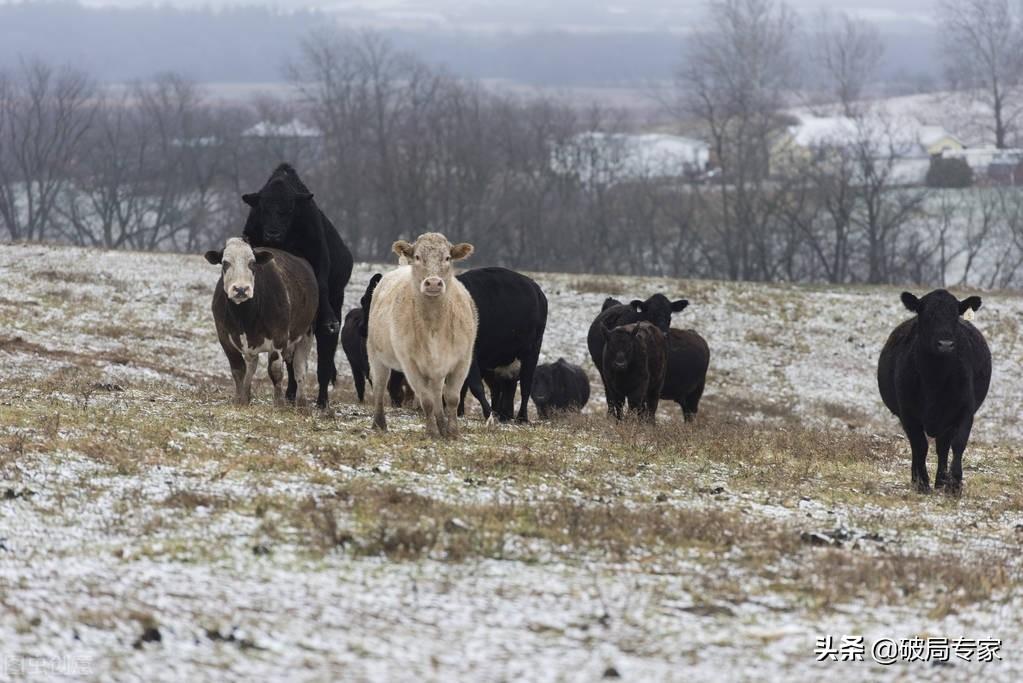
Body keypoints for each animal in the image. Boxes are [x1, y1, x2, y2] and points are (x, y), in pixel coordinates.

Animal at [205, 237, 317, 404]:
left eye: (252, 263)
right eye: (225, 263)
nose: (241, 289)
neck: (244, 317)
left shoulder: (280, 338)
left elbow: (275, 371)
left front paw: (278, 403)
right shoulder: (224, 337)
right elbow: (238, 370)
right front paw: (239, 400)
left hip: (306, 332)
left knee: (300, 368)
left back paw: (301, 402)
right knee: (252, 365)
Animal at [241, 163, 353, 411]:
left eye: (290, 208)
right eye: (263, 207)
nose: (272, 233)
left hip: (334, 304)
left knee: (324, 358)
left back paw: (321, 402)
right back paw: (292, 394)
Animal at [368, 232, 478, 437]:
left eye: (447, 258)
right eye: (418, 257)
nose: (433, 283)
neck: (434, 324)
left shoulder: (462, 360)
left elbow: (452, 398)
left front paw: (452, 432)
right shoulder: (410, 364)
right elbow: (426, 400)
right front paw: (432, 432)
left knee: (437, 392)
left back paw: (442, 424)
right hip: (375, 355)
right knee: (379, 385)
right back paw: (379, 424)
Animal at [458, 267, 548, 421]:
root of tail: (537, 291)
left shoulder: (471, 355)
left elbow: (475, 386)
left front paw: (488, 414)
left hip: (531, 353)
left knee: (525, 387)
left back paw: (521, 417)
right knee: (504, 387)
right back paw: (505, 414)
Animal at [875, 290, 986, 492]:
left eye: (955, 316)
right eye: (927, 315)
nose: (945, 344)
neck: (935, 378)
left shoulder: (965, 410)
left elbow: (958, 444)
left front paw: (955, 484)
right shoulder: (908, 413)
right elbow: (920, 446)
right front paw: (922, 482)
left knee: (943, 447)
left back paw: (941, 481)